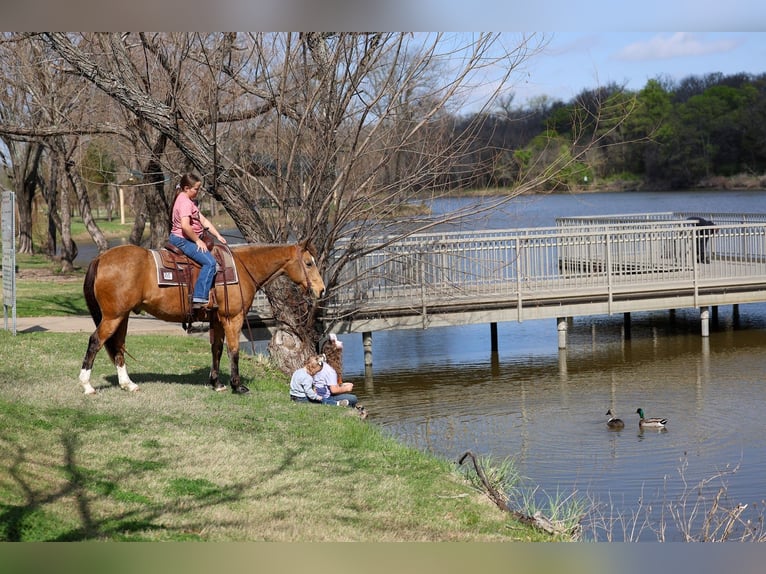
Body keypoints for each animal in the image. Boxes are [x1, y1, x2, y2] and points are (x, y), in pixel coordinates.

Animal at [78, 241, 325, 395]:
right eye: (309, 263)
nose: (321, 290)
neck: (242, 267)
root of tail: (101, 258)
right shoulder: (232, 318)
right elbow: (233, 350)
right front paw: (237, 385)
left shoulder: (217, 319)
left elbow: (216, 349)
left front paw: (216, 383)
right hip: (113, 317)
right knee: (95, 341)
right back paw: (87, 385)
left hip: (122, 316)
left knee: (117, 345)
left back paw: (128, 384)